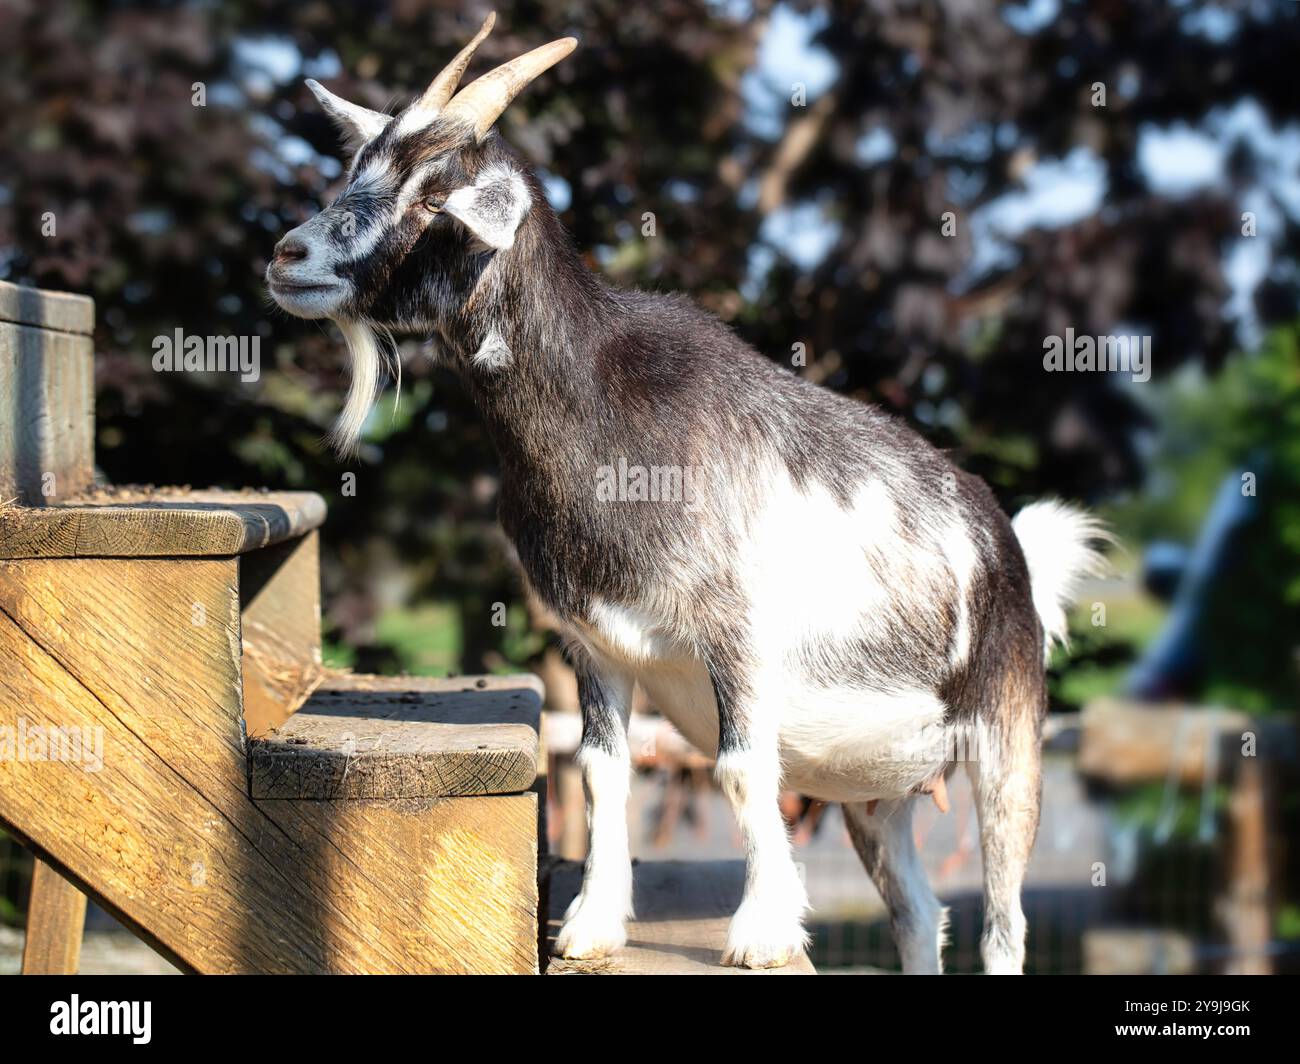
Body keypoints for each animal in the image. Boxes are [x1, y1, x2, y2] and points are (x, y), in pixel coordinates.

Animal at [266, 16, 1107, 972]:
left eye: (436, 197)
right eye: (358, 170)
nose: (288, 255)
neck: (606, 418)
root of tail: (1011, 545)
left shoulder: (736, 632)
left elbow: (741, 769)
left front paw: (763, 931)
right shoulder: (593, 642)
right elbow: (602, 769)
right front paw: (593, 923)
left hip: (1008, 736)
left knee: (1003, 921)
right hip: (877, 794)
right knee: (919, 910)